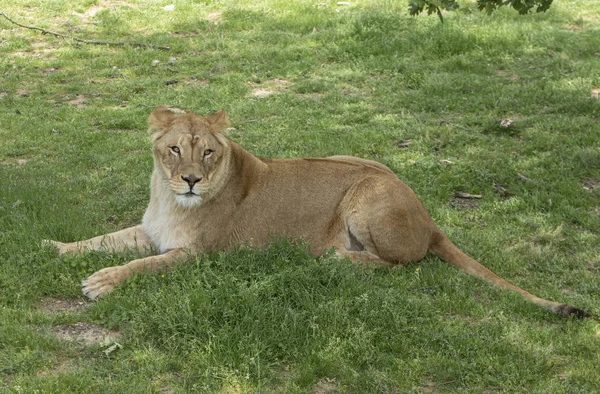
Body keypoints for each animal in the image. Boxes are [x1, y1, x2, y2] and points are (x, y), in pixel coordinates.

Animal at [45, 106, 584, 318]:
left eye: (208, 153)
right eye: (175, 150)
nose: (192, 180)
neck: (167, 196)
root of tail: (430, 217)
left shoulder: (194, 254)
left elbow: (142, 265)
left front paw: (101, 283)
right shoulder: (148, 230)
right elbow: (103, 240)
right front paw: (55, 247)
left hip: (366, 189)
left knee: (401, 263)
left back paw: (340, 258)